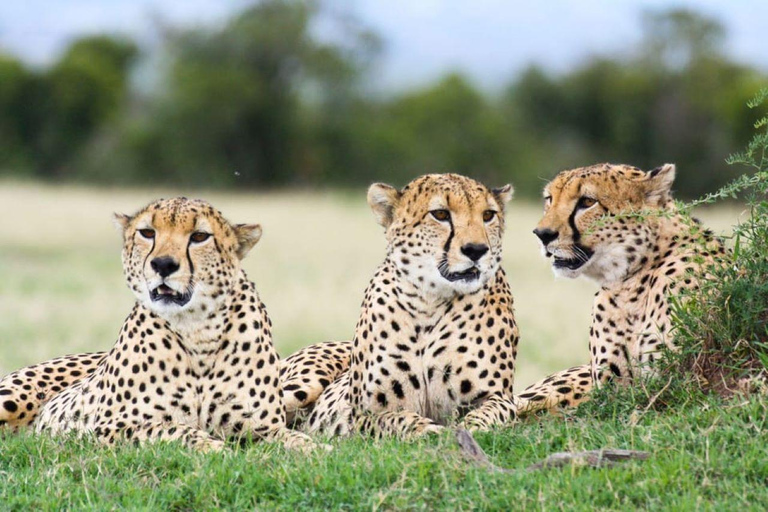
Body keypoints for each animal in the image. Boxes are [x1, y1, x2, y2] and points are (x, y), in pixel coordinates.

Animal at [30, 198, 318, 450]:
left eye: (200, 236)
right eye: (147, 232)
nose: (163, 264)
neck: (199, 330)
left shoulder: (261, 428)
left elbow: (297, 440)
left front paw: (316, 449)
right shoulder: (107, 428)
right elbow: (172, 428)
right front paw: (212, 447)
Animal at [304, 175, 520, 436]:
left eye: (488, 215)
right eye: (440, 214)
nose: (476, 250)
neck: (429, 302)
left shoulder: (499, 397)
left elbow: (486, 415)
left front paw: (466, 429)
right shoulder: (362, 413)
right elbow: (397, 419)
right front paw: (430, 431)